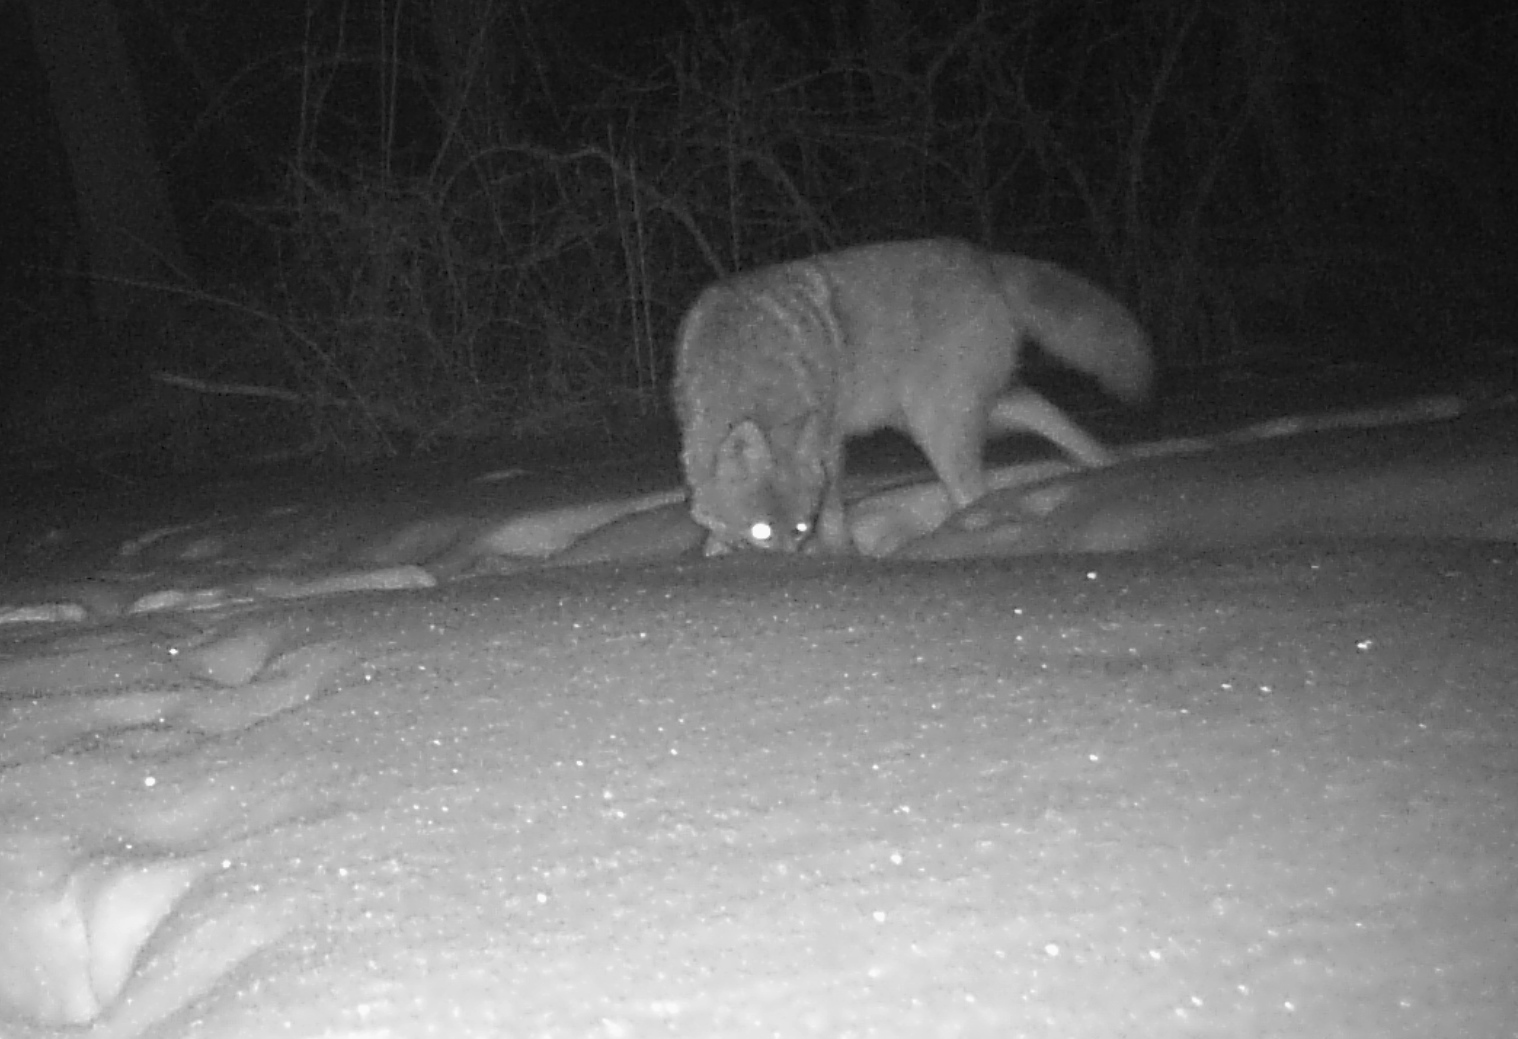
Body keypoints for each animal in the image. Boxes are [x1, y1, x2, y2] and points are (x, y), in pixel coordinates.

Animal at [673, 237, 1153, 554]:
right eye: (760, 531)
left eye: (800, 528)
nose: (790, 564)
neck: (746, 359)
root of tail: (985, 259)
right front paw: (713, 551)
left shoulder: (832, 445)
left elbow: (835, 517)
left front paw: (841, 556)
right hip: (954, 412)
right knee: (1044, 409)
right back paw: (1107, 468)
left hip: (936, 426)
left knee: (973, 494)